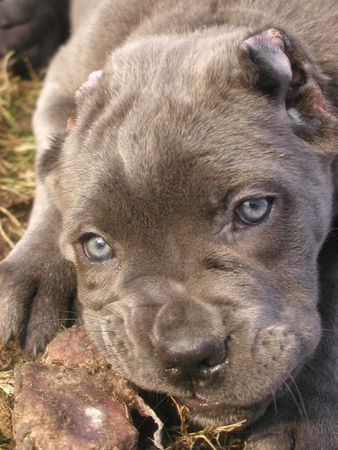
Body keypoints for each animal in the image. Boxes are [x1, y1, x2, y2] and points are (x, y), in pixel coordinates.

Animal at [0, 1, 338, 448]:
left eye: (253, 210)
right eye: (96, 246)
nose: (188, 356)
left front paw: (306, 417)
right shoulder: (60, 88)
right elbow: (49, 173)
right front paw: (36, 276)